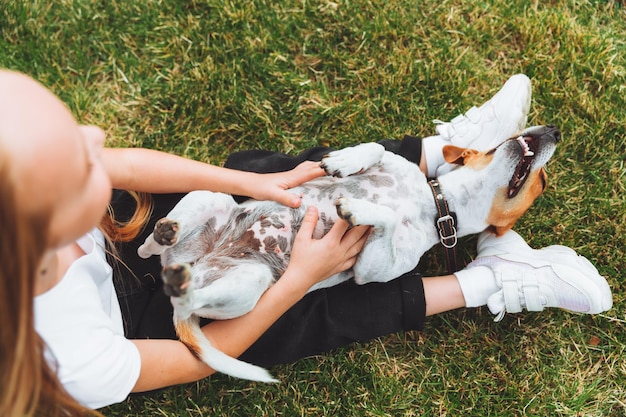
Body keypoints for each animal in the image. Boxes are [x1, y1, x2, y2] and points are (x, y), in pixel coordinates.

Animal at [136, 123, 560, 380]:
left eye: (540, 181)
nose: (554, 129)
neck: (437, 202)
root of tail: (199, 264)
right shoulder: (392, 162)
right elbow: (374, 147)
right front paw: (343, 160)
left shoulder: (373, 267)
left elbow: (381, 221)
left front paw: (358, 210)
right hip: (211, 198)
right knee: (145, 251)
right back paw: (166, 233)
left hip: (249, 280)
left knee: (174, 282)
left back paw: (175, 265)